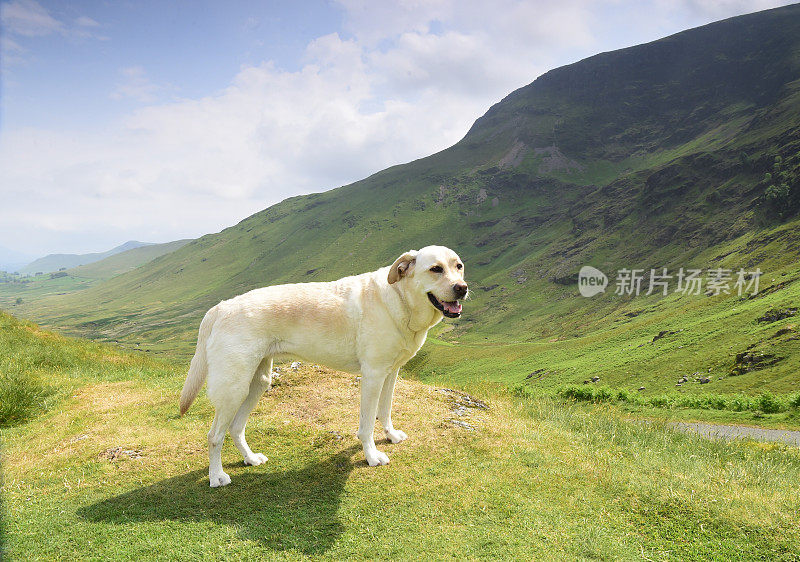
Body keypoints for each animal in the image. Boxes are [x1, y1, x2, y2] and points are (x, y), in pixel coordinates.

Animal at [180, 245, 468, 486]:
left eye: (459, 266)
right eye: (436, 269)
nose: (462, 288)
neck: (400, 299)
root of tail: (219, 307)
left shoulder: (391, 373)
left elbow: (385, 411)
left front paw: (391, 435)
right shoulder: (373, 376)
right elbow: (366, 425)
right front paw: (371, 456)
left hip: (257, 383)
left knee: (235, 427)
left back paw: (250, 458)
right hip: (233, 388)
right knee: (214, 435)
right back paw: (216, 477)